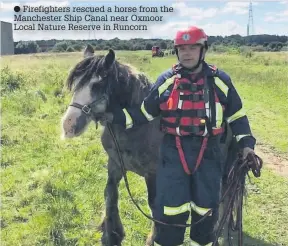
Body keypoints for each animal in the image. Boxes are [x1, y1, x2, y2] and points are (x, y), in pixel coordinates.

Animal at [60, 44, 236, 246]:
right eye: (75, 84)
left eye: (97, 85)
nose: (68, 125)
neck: (136, 127)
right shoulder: (115, 164)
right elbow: (110, 194)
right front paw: (112, 233)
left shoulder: (153, 174)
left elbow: (154, 206)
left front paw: (152, 238)